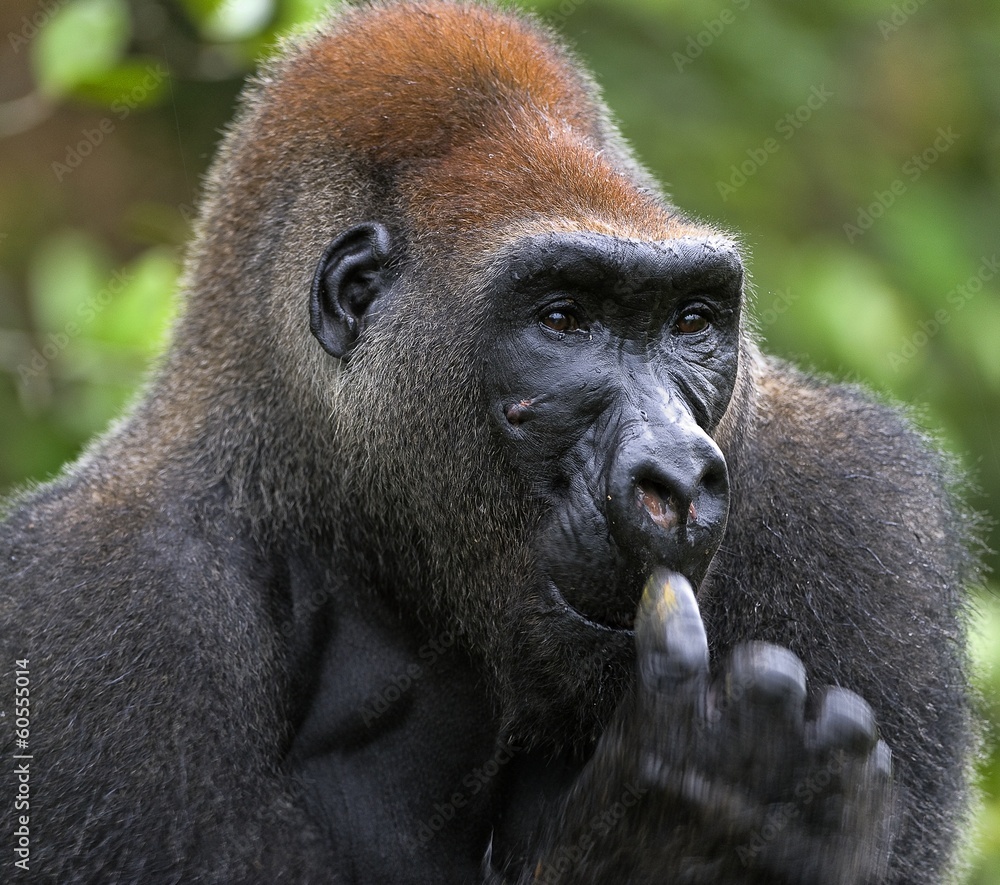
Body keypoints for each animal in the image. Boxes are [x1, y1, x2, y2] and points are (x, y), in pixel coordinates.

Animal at [0, 1, 975, 882]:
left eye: (691, 321)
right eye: (563, 319)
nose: (677, 475)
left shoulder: (862, 501)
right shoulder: (90, 602)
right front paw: (687, 839)